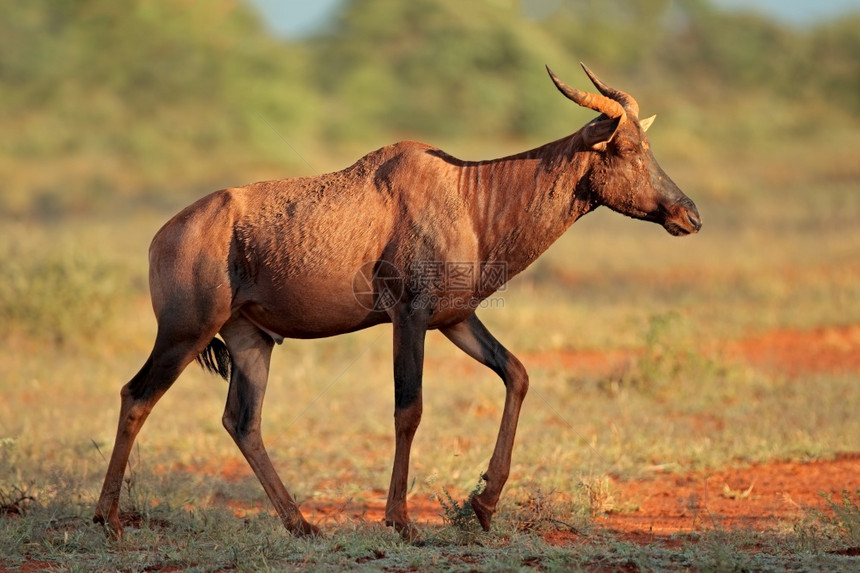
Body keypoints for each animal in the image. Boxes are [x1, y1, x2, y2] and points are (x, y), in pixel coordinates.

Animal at [94, 63, 700, 540]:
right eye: (628, 148)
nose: (688, 215)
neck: (465, 192)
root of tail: (163, 235)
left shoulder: (455, 320)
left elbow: (518, 375)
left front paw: (483, 504)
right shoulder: (408, 317)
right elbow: (409, 408)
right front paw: (402, 521)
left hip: (250, 340)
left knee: (242, 421)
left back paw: (302, 524)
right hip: (184, 332)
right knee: (136, 396)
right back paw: (110, 521)